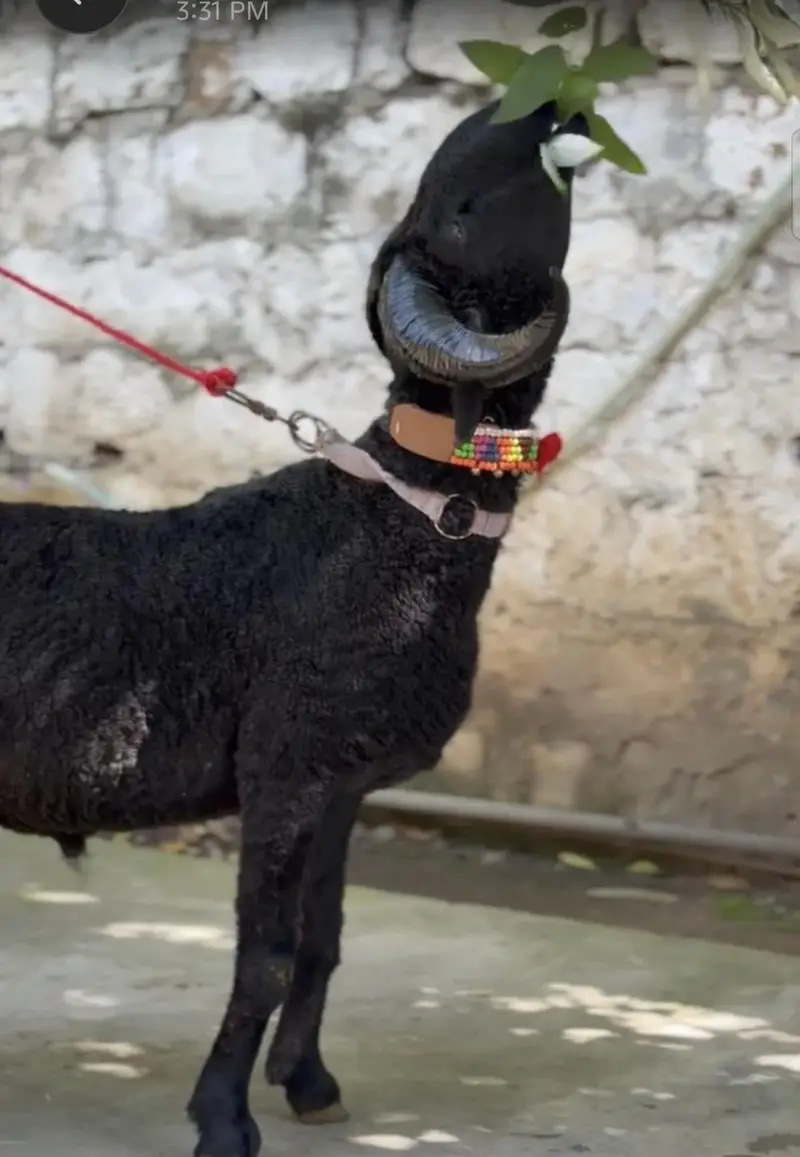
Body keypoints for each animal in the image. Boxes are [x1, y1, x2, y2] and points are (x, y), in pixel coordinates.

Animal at [0, 97, 587, 1157]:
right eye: (462, 213)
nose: (550, 106)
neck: (397, 519)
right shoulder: (286, 768)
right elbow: (266, 954)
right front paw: (224, 1118)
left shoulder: (343, 782)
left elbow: (325, 940)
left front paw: (308, 1081)